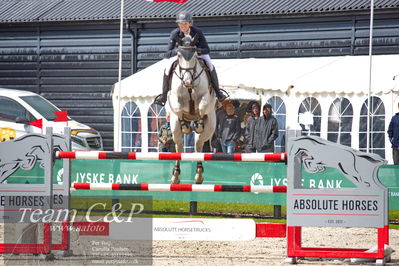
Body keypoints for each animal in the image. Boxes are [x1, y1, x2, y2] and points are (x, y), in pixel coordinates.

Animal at [169, 34, 219, 185]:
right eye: (179, 55)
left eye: (195, 55)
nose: (187, 82)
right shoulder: (174, 96)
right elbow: (178, 107)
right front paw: (185, 126)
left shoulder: (206, 96)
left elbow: (202, 106)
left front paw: (199, 123)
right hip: (174, 128)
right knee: (179, 147)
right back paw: (175, 176)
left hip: (209, 129)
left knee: (199, 146)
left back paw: (199, 174)